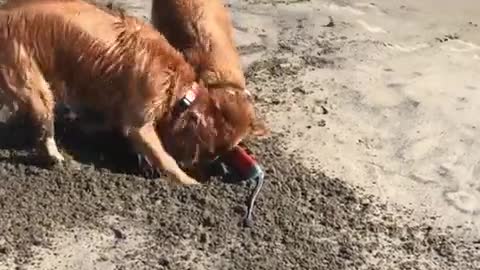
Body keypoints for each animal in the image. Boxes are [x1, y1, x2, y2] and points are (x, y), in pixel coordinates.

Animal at [0, 0, 266, 184]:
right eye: (211, 152)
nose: (204, 169)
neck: (177, 85)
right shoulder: (140, 121)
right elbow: (163, 156)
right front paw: (189, 181)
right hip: (30, 78)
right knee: (44, 126)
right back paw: (56, 157)